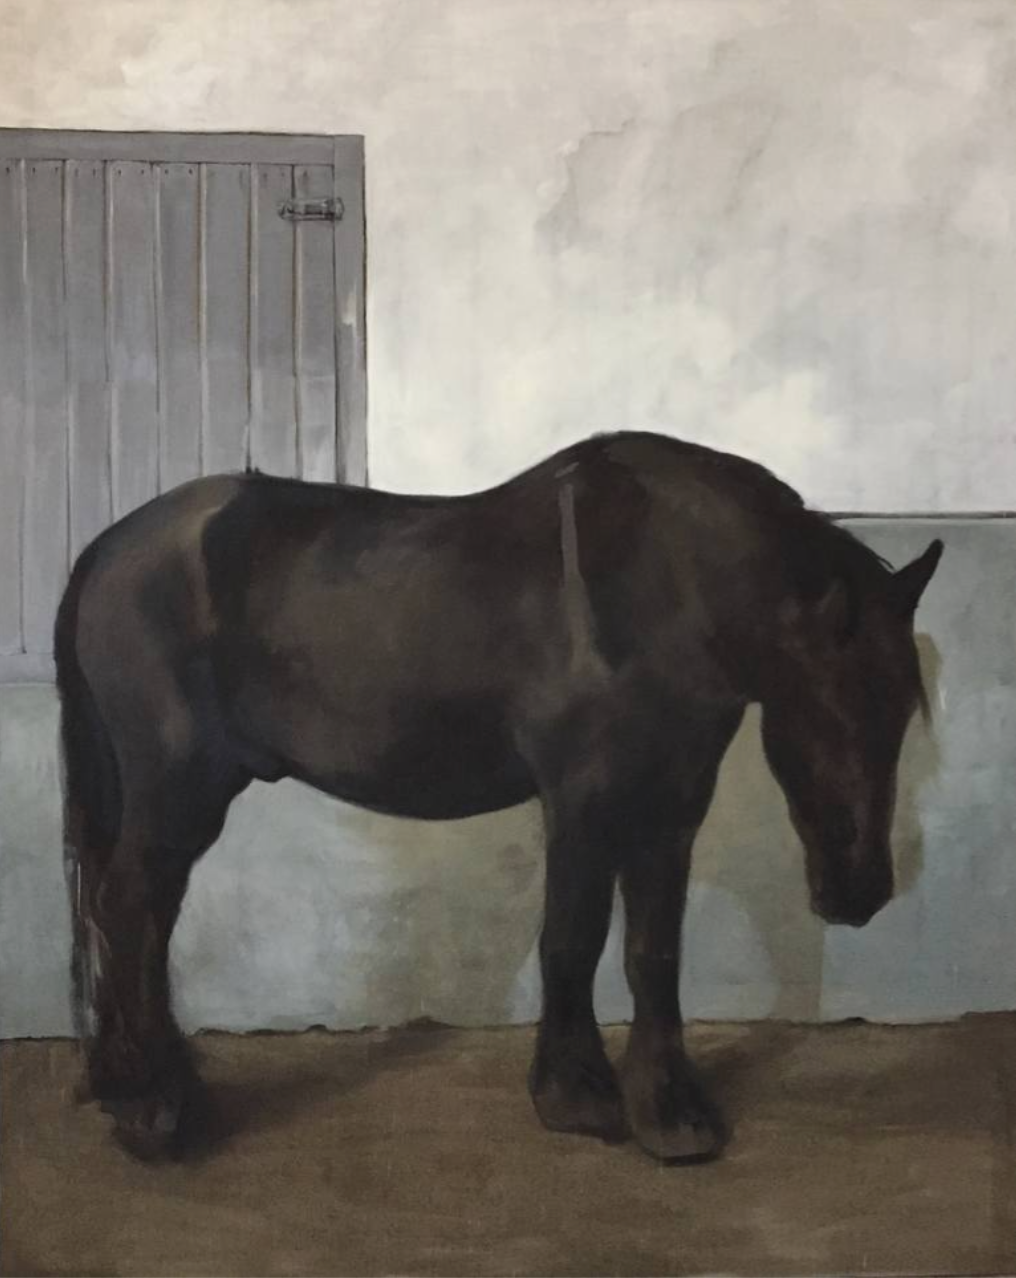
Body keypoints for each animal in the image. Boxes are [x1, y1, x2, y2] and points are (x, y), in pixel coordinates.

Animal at [55, 430, 943, 1163]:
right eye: (827, 709)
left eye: (902, 709)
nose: (860, 890)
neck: (660, 585)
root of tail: (106, 547)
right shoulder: (583, 798)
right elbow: (573, 939)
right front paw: (577, 1097)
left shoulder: (671, 805)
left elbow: (653, 951)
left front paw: (671, 1114)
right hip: (178, 790)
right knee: (130, 907)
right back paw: (153, 1110)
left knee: (139, 915)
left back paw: (143, 1086)